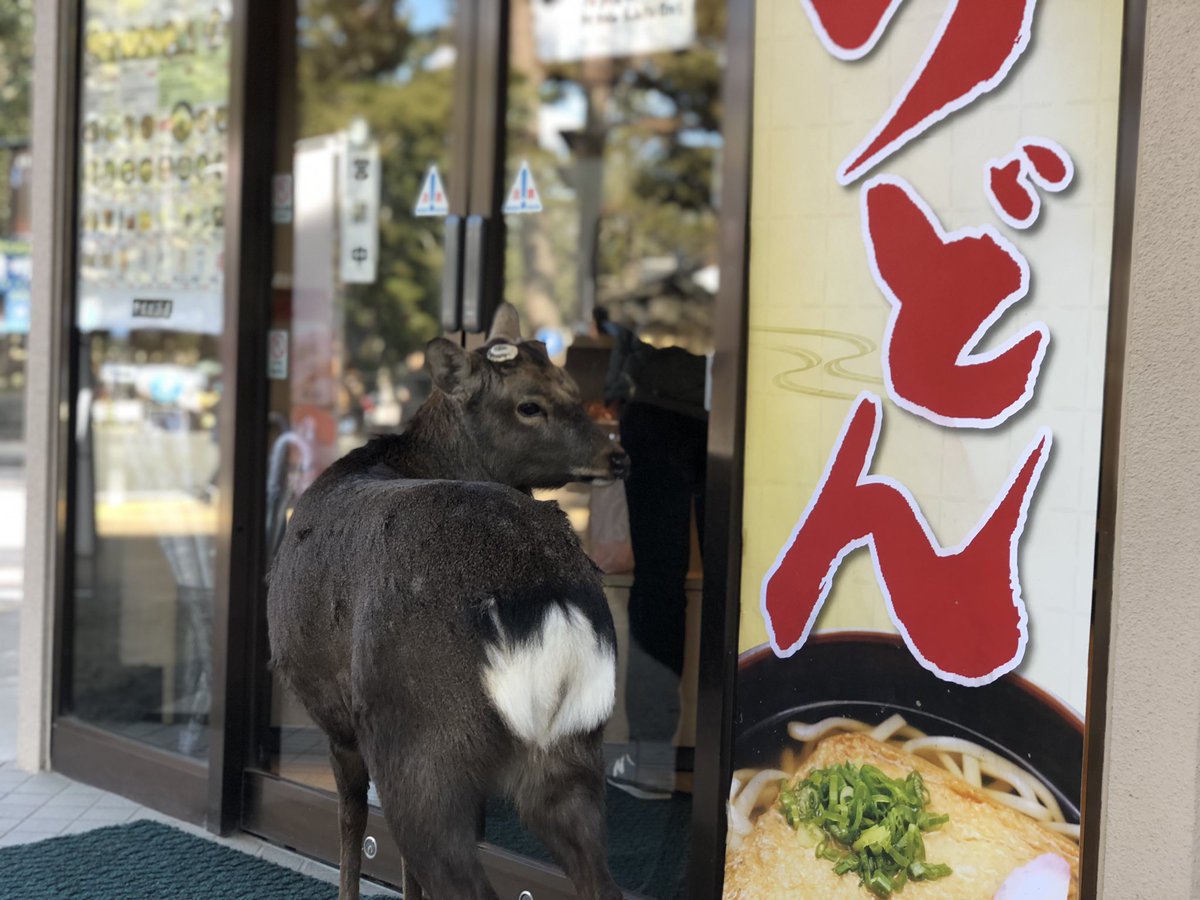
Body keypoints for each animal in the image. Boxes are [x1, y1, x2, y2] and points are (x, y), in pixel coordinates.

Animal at [267, 304, 629, 900]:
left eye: (570, 387)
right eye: (532, 402)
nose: (617, 455)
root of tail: (547, 600)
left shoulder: (335, 717)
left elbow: (351, 827)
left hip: (422, 732)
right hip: (572, 746)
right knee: (599, 880)